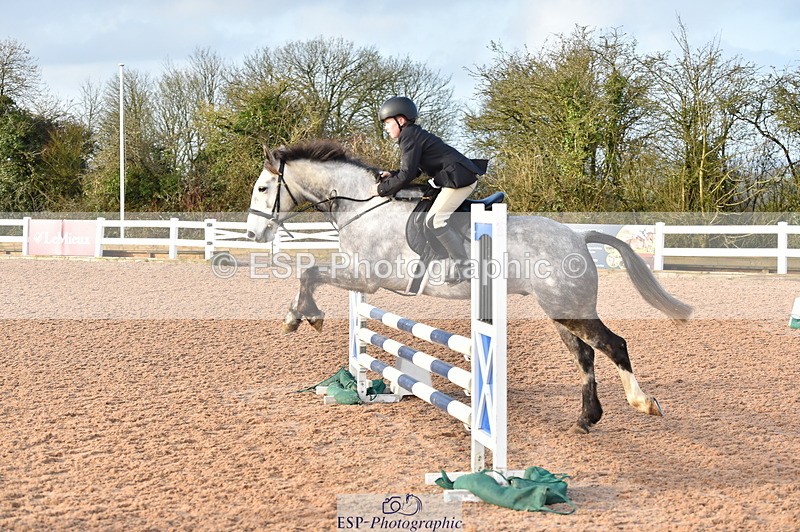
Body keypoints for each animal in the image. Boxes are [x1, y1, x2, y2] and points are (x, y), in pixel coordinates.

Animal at [246, 140, 693, 434]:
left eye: (263, 188)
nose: (253, 234)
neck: (363, 206)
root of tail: (579, 237)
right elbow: (310, 272)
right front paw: (302, 316)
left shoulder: (367, 277)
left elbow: (310, 273)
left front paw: (300, 317)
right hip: (560, 311)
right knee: (585, 354)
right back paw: (586, 419)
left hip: (568, 308)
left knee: (613, 345)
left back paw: (643, 403)